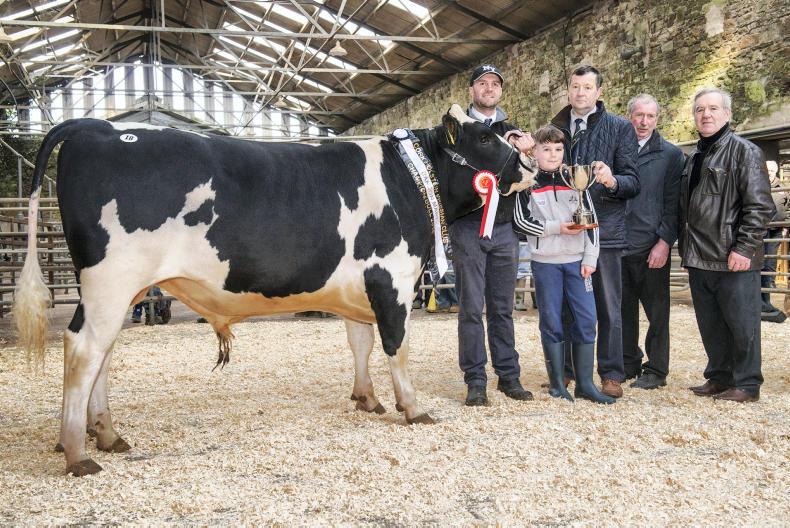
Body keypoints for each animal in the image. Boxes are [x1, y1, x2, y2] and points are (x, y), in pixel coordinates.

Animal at [15, 103, 536, 474]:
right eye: (485, 136)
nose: (529, 161)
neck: (410, 178)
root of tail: (96, 127)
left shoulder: (359, 287)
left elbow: (360, 342)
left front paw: (366, 399)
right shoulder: (391, 279)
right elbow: (396, 346)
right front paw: (412, 408)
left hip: (118, 290)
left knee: (99, 353)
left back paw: (106, 435)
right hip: (111, 280)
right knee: (85, 350)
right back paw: (78, 452)